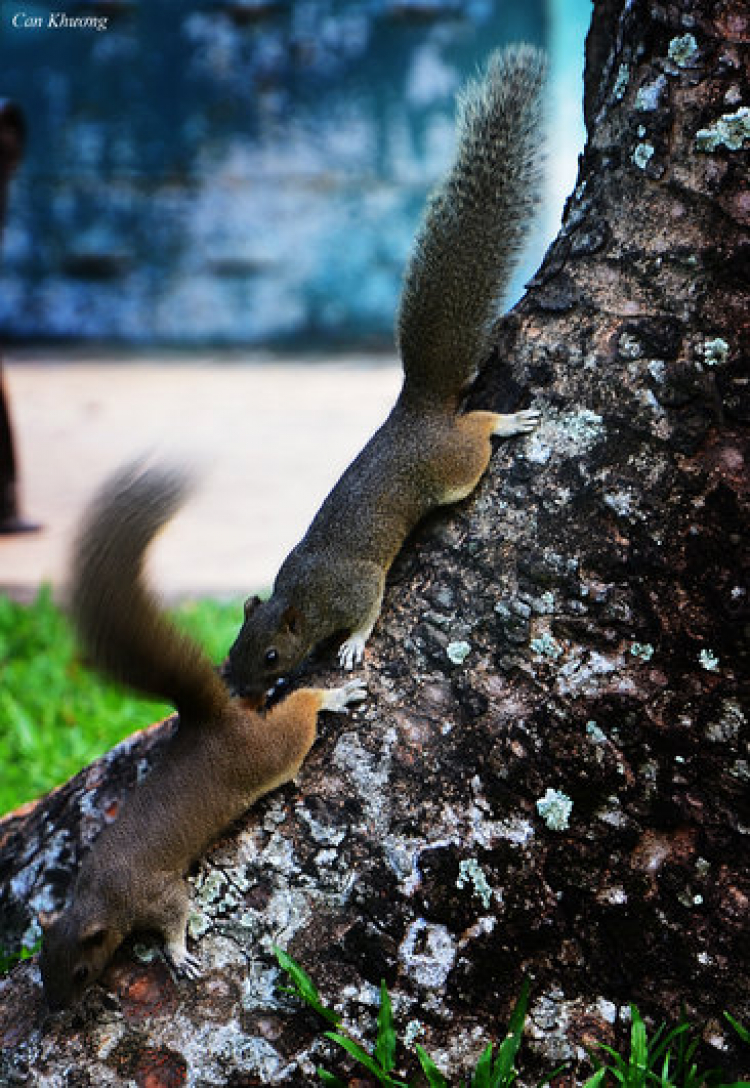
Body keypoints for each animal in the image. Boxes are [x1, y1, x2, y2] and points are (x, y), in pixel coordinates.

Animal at [38, 461, 365, 1009]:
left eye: (81, 972)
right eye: (43, 971)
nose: (59, 1008)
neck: (97, 899)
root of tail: (208, 720)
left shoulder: (154, 895)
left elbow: (176, 914)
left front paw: (178, 956)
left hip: (265, 754)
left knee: (299, 720)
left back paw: (332, 697)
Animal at [225, 44, 546, 696]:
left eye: (270, 655)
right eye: (234, 646)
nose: (239, 689)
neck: (303, 597)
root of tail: (416, 408)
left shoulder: (358, 587)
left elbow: (369, 611)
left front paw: (350, 646)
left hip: (453, 467)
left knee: (475, 434)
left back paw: (504, 424)